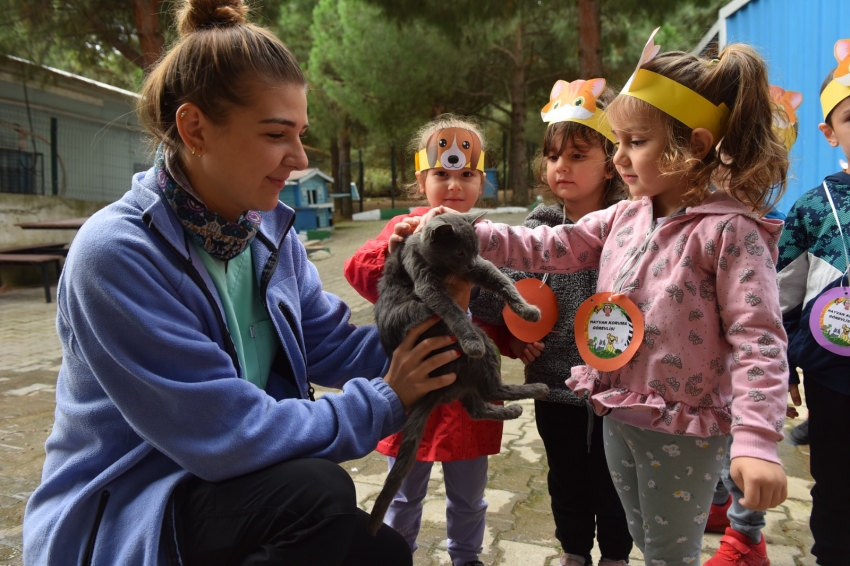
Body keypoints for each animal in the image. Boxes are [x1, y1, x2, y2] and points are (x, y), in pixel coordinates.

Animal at [368, 213, 548, 536]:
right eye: (459, 251)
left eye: (476, 249)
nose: (469, 263)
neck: (446, 267)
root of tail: (434, 393)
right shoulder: (428, 284)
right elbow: (452, 310)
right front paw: (469, 340)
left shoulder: (482, 269)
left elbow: (504, 282)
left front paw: (527, 311)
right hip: (480, 349)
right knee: (490, 390)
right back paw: (537, 389)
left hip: (463, 382)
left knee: (476, 407)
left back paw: (511, 410)